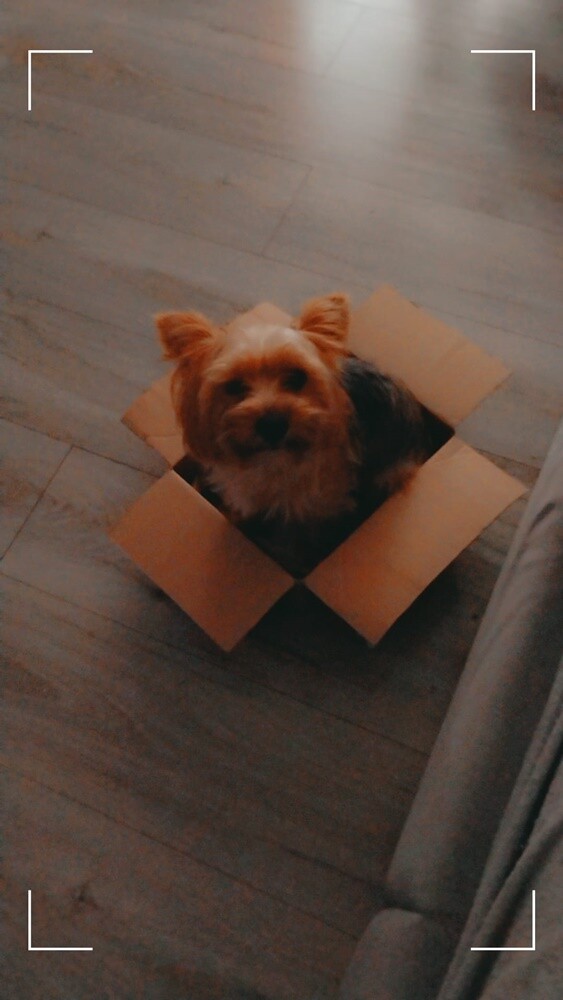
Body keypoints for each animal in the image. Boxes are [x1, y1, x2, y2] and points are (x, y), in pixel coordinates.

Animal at [156, 294, 432, 571]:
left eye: (298, 377)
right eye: (234, 386)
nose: (272, 423)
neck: (273, 460)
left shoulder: (322, 503)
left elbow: (303, 535)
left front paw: (295, 557)